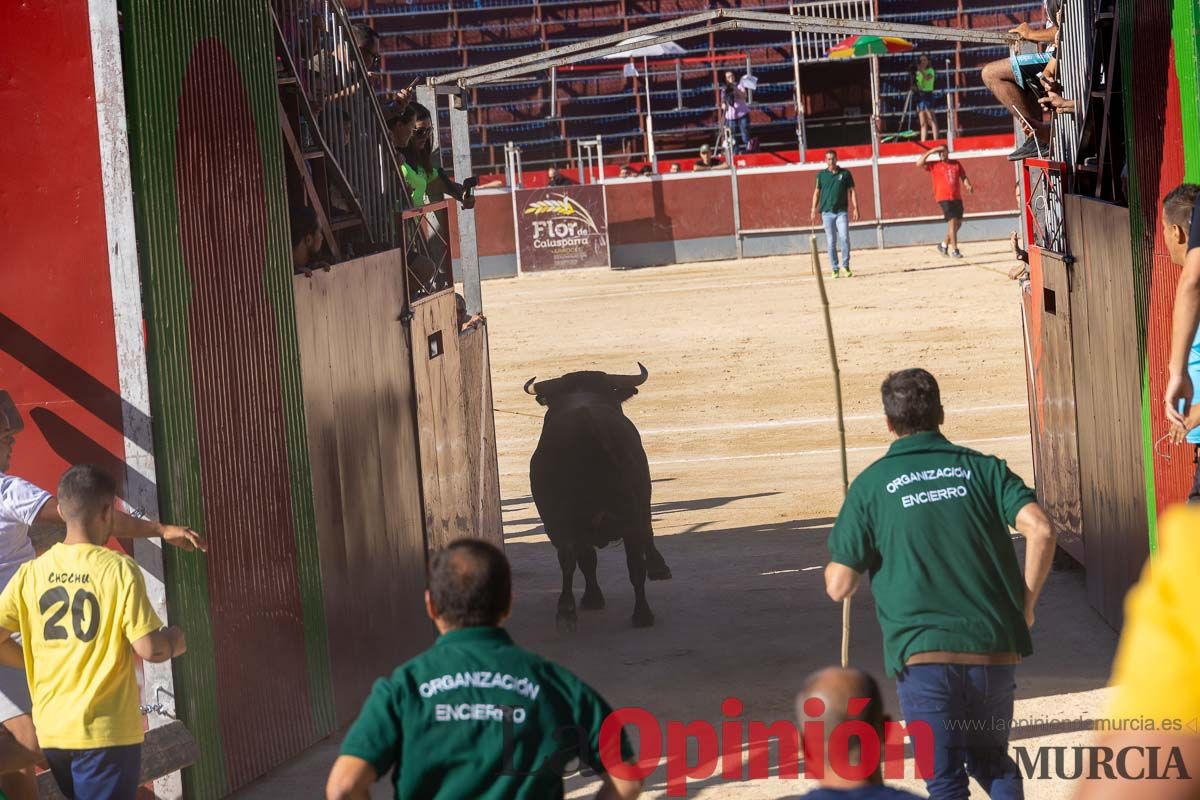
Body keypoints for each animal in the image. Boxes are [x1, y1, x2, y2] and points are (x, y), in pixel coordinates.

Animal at [528, 364, 676, 633]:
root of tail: (588, 427)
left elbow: (586, 559)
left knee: (572, 557)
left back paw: (568, 611)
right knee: (632, 559)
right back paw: (641, 612)